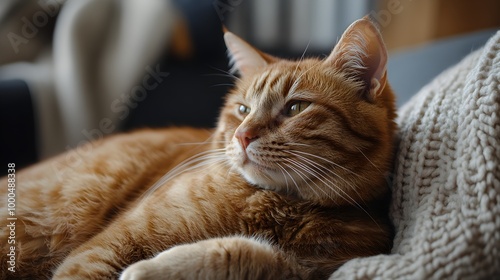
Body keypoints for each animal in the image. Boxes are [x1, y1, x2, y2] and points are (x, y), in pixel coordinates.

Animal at [1, 18, 396, 280]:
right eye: (243, 110)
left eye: (296, 108)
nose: (243, 136)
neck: (278, 206)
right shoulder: (105, 249)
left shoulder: (315, 267)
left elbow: (241, 253)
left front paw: (154, 268)